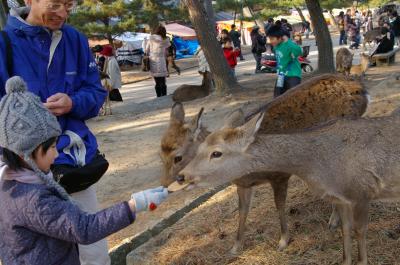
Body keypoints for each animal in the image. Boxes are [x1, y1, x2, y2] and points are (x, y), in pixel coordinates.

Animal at [159, 72, 368, 254]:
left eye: (178, 157)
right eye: (160, 155)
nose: (168, 185)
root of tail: (362, 89)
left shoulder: (279, 175)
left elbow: (280, 205)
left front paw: (283, 240)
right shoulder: (243, 184)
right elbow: (242, 211)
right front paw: (235, 247)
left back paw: (336, 219)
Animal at [180, 110, 400, 265]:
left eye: (216, 153)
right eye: (200, 147)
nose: (182, 175)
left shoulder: (362, 192)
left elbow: (360, 231)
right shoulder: (341, 199)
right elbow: (345, 231)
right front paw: (345, 260)